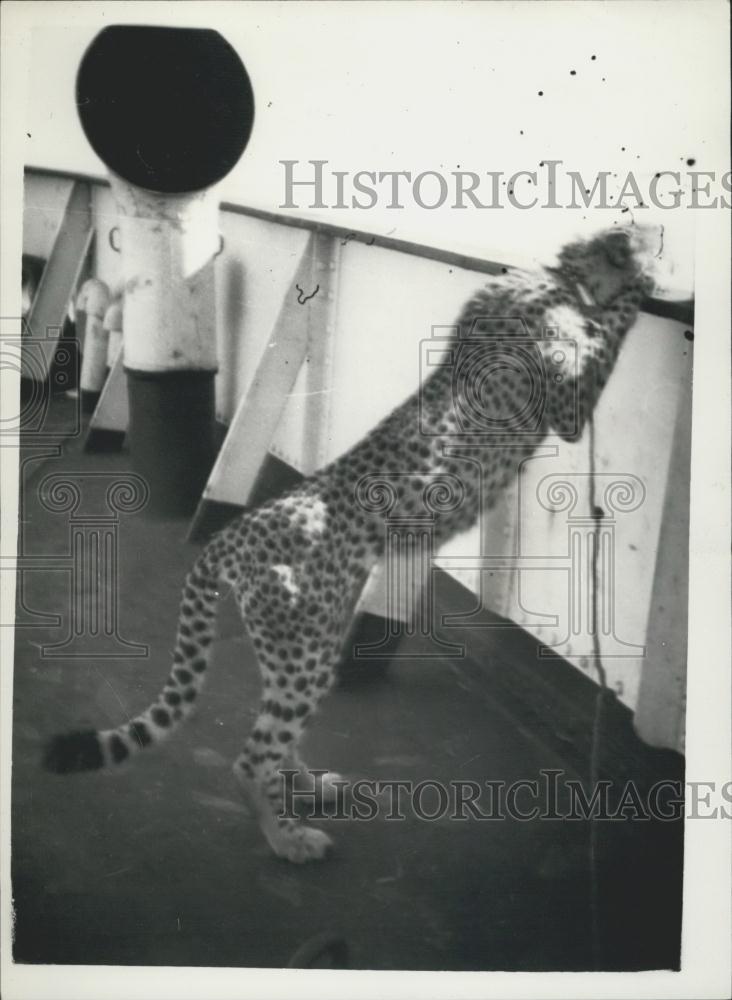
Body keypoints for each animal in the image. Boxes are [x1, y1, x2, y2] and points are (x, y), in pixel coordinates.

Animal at [43, 224, 661, 863]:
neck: (560, 276)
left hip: (298, 643)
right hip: (304, 649)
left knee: (277, 733)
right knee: (251, 758)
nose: (650, 235)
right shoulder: (566, 403)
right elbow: (612, 325)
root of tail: (232, 534)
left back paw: (311, 788)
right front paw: (641, 274)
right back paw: (289, 839)